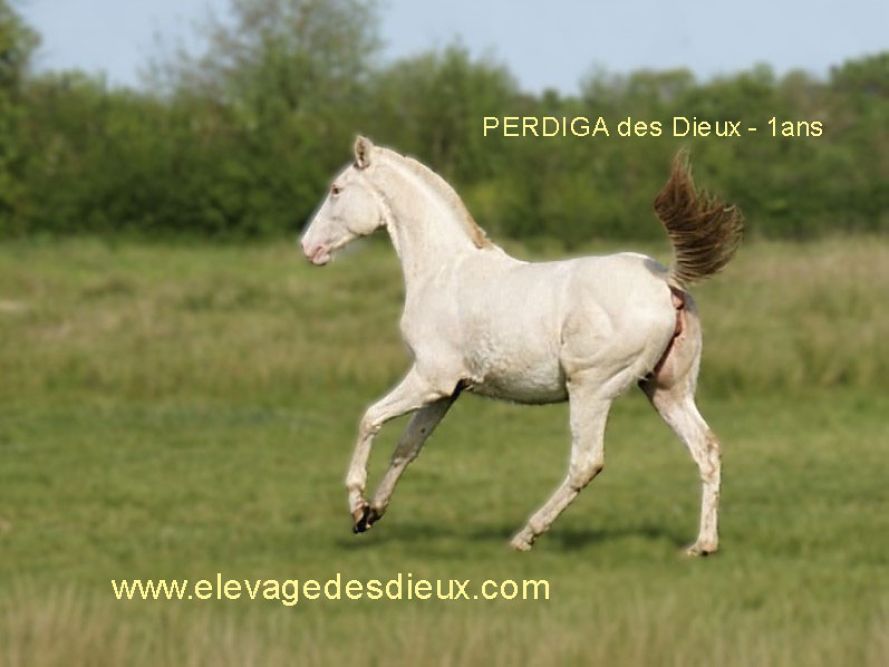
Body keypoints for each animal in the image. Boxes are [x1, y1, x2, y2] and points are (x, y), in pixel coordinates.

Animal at [300, 136, 742, 553]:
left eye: (337, 189)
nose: (308, 248)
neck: (443, 270)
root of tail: (667, 282)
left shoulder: (430, 378)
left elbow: (370, 419)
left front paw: (356, 507)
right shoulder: (446, 392)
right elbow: (408, 446)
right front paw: (371, 515)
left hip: (591, 389)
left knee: (586, 463)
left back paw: (525, 537)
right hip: (666, 389)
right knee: (706, 448)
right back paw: (703, 546)